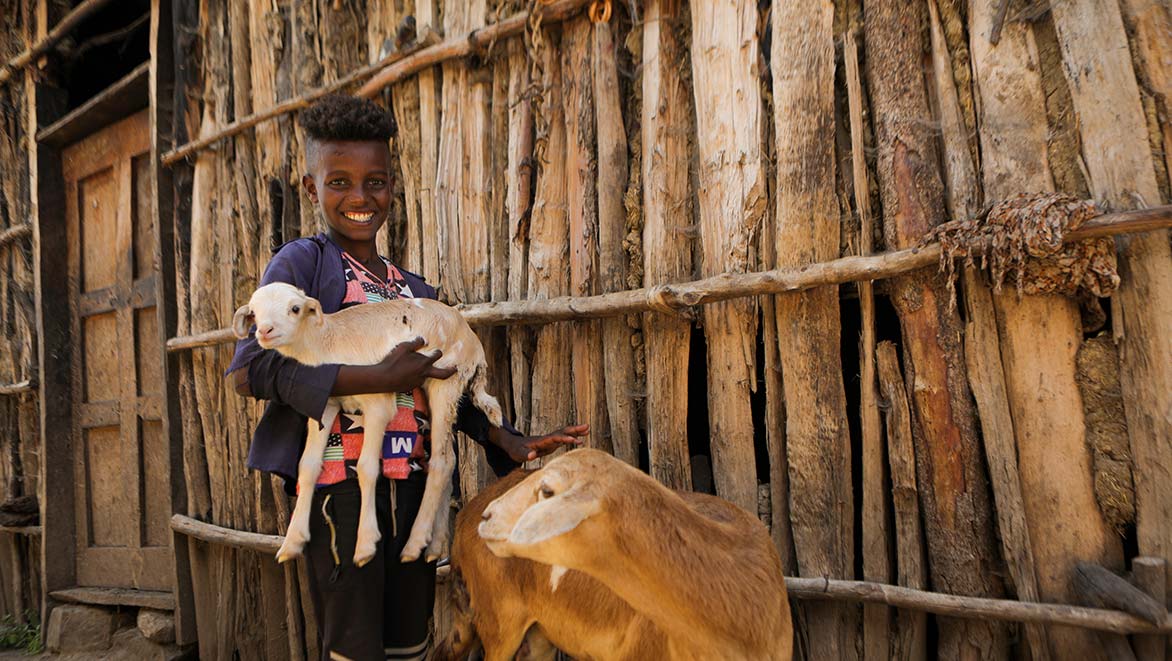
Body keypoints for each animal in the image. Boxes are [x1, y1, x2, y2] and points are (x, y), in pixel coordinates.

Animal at [230, 281, 501, 564]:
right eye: (254, 313)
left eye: (294, 308)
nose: (264, 331)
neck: (327, 341)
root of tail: (475, 344)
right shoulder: (326, 405)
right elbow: (308, 466)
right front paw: (293, 542)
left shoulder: (378, 404)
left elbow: (367, 467)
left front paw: (365, 545)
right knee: (449, 463)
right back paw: (434, 544)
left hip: (446, 382)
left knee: (441, 462)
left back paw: (414, 543)